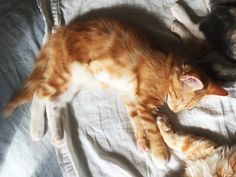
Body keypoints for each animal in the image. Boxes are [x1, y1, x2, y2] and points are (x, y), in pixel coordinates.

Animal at [1, 17, 228, 167]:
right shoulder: (143, 99)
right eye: (180, 100)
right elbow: (152, 128)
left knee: (53, 103)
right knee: (39, 94)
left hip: (71, 83)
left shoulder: (130, 96)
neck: (165, 67)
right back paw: (37, 129)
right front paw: (159, 152)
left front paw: (141, 141)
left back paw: (56, 135)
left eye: (186, 107)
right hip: (63, 73)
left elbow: (136, 119)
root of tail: (59, 33)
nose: (174, 109)